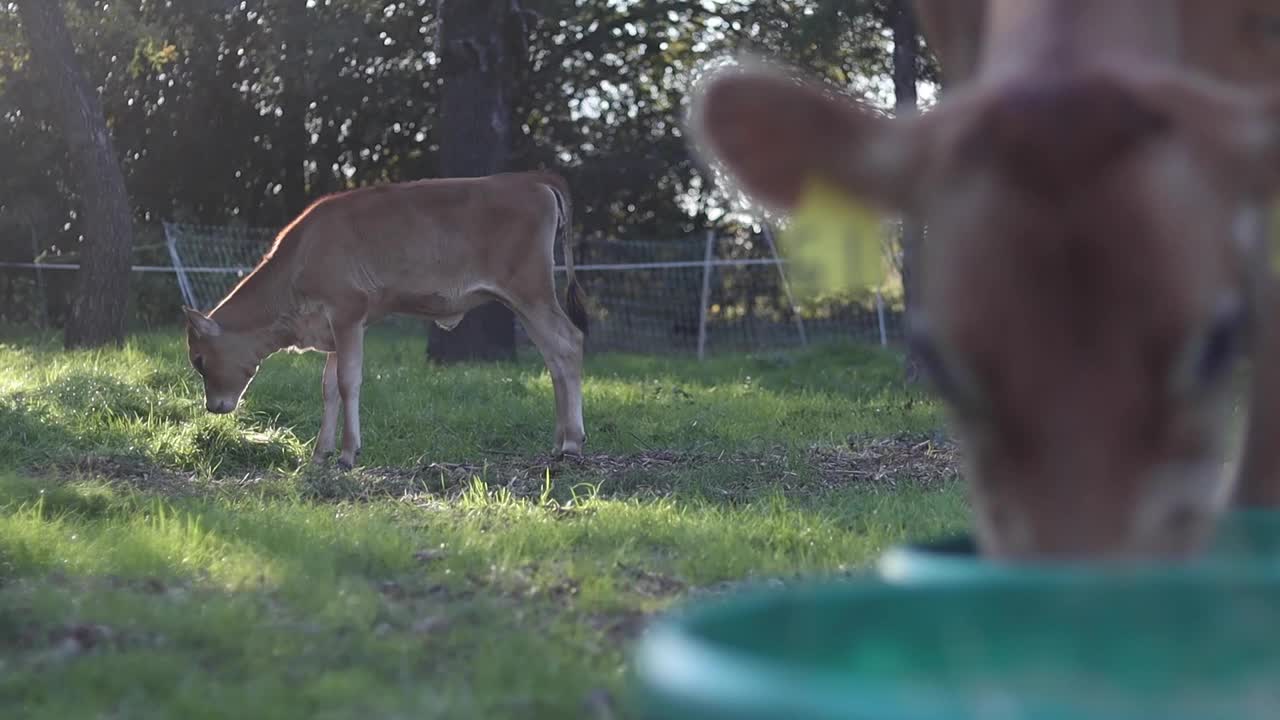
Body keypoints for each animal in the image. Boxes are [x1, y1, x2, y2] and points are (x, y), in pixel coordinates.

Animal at [181, 171, 588, 468]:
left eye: (199, 360)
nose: (212, 407)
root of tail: (529, 180)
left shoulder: (348, 313)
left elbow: (348, 382)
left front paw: (348, 454)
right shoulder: (333, 328)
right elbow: (328, 387)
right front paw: (320, 453)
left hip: (532, 292)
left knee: (569, 342)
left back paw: (572, 442)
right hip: (524, 302)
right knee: (554, 356)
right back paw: (559, 441)